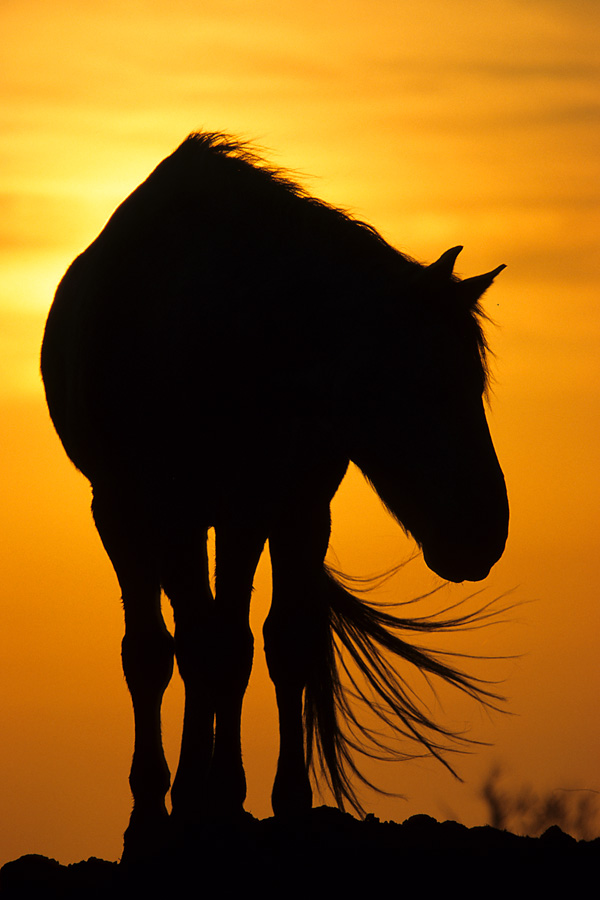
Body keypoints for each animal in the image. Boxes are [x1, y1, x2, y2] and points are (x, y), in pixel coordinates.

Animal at [42, 130, 508, 856]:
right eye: (429, 382)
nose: (484, 530)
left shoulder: (287, 506)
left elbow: (281, 645)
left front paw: (280, 803)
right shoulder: (159, 510)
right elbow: (178, 652)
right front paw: (176, 808)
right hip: (145, 519)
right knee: (174, 645)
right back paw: (171, 805)